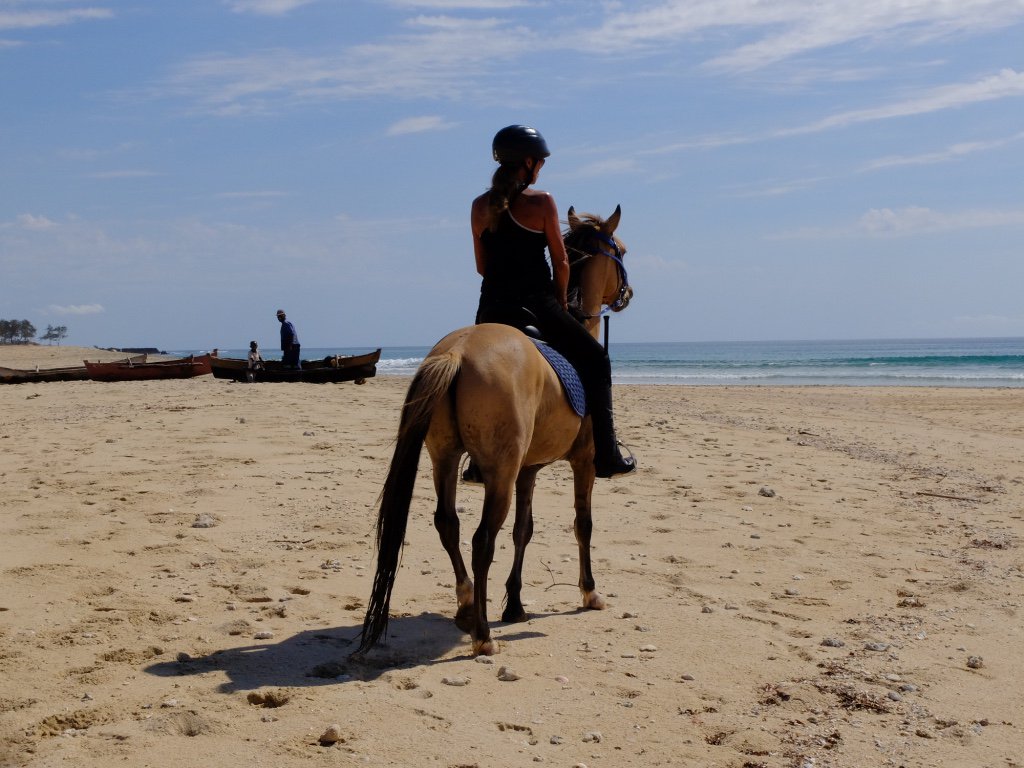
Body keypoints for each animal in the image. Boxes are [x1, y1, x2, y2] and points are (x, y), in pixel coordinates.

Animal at [357, 207, 631, 658]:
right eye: (621, 250)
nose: (626, 293)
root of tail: (457, 352)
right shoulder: (583, 461)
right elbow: (582, 523)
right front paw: (589, 592)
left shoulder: (528, 470)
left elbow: (525, 531)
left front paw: (515, 604)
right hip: (499, 472)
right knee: (482, 538)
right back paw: (483, 634)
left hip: (445, 458)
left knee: (448, 524)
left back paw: (468, 604)